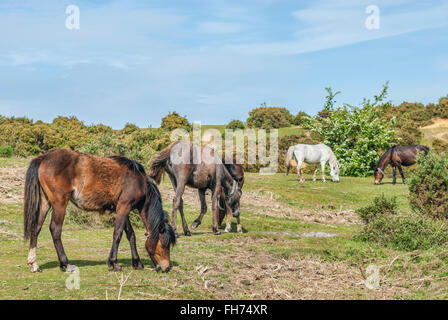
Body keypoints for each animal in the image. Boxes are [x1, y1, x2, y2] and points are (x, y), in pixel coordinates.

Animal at [23, 149, 176, 272]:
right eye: (164, 244)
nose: (167, 267)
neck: (138, 181)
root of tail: (44, 158)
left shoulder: (122, 209)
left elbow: (130, 235)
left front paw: (137, 263)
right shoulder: (124, 207)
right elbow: (118, 234)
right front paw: (114, 264)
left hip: (45, 203)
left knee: (36, 228)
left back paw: (34, 264)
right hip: (59, 203)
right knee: (55, 229)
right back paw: (65, 264)